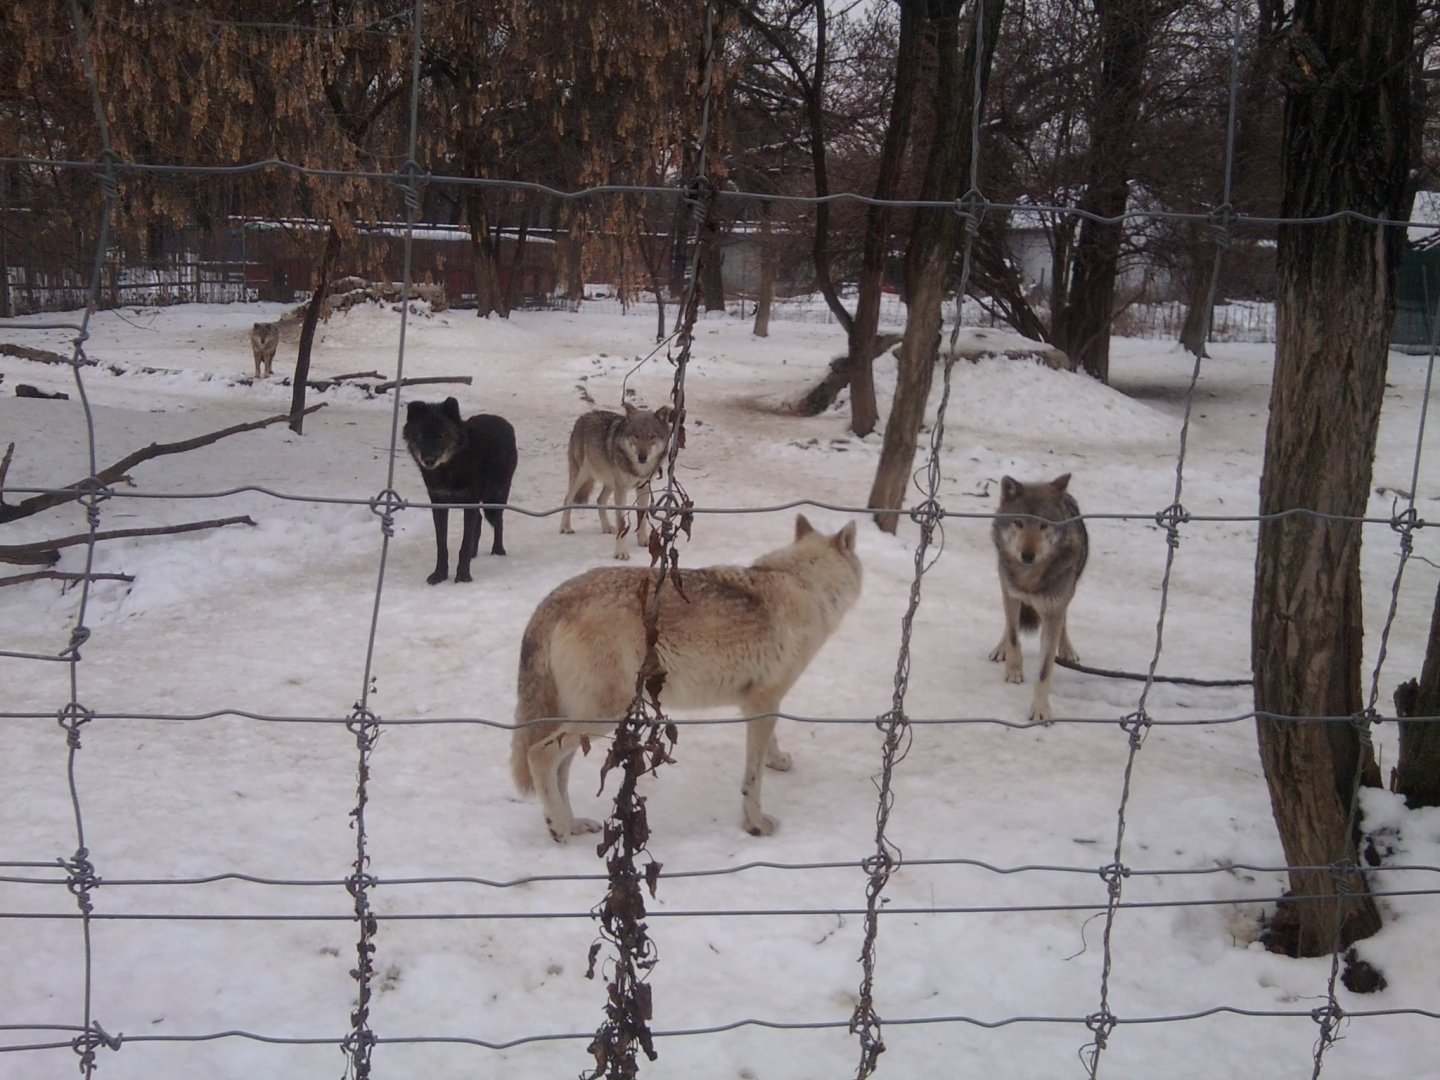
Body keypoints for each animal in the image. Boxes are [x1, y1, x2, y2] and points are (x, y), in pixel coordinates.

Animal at [402, 397, 518, 585]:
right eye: (420, 435)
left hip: (495, 497)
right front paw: (439, 575)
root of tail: (503, 421)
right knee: (480, 520)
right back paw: (474, 553)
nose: (429, 460)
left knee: (498, 520)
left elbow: (464, 544)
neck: (449, 468)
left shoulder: (470, 501)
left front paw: (463, 576)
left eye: (442, 435)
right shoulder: (438, 503)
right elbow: (442, 546)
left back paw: (498, 551)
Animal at [512, 514, 862, 843]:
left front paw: (777, 760)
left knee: (560, 769)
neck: (804, 582)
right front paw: (756, 824)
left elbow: (770, 746)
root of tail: (551, 601)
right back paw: (558, 828)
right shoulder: (764, 702)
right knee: (538, 755)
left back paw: (572, 823)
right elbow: (752, 780)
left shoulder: (758, 704)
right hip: (604, 717)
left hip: (584, 719)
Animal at [559, 402, 676, 560]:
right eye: (636, 436)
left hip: (610, 482)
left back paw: (607, 527)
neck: (637, 468)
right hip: (582, 477)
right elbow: (622, 522)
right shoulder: (621, 490)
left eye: (652, 436)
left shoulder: (643, 487)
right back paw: (565, 527)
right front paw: (621, 552)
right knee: (568, 499)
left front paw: (643, 540)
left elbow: (642, 517)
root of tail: (583, 417)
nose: (642, 457)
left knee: (600, 500)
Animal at [987, 473, 1088, 724]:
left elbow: (1045, 669)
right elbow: (1013, 636)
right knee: (1009, 624)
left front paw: (1041, 710)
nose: (1028, 555)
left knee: (1064, 619)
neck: (1029, 579)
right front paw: (1013, 670)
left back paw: (1067, 649)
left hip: (1068, 591)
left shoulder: (1054, 608)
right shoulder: (1010, 593)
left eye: (1043, 525)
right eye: (1019, 523)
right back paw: (1000, 648)